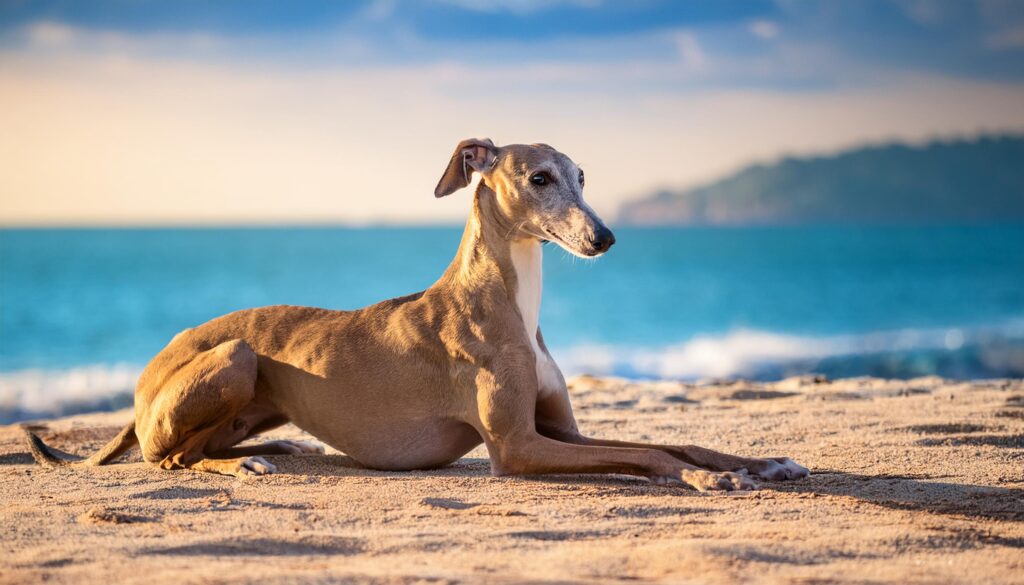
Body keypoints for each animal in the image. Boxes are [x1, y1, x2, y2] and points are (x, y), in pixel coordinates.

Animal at [28, 139, 806, 491]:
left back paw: (285, 449)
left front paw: (766, 460)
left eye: (583, 176)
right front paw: (711, 480)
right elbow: (652, 454)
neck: (509, 298)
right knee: (169, 456)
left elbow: (681, 441)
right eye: (539, 177)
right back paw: (247, 464)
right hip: (237, 354)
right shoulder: (517, 447)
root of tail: (143, 379)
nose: (604, 238)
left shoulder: (559, 429)